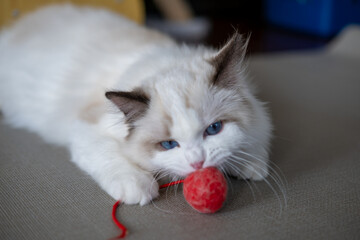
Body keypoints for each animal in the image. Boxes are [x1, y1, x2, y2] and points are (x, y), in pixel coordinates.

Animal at [0, 4, 272, 205]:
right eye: (168, 144)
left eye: (214, 129)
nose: (198, 164)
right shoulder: (86, 125)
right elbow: (111, 155)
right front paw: (137, 186)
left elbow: (252, 140)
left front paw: (249, 164)